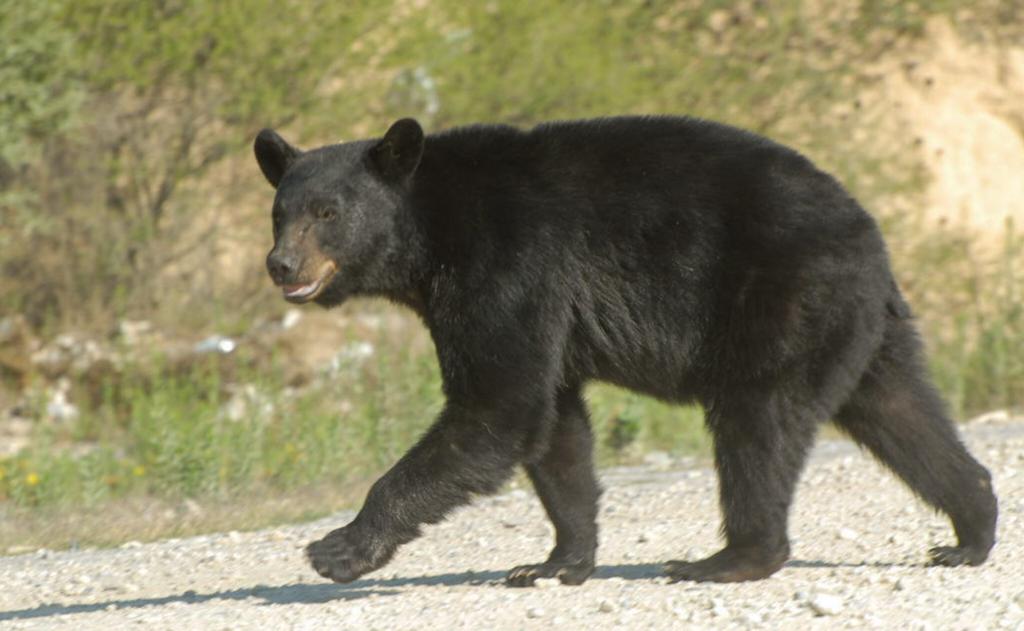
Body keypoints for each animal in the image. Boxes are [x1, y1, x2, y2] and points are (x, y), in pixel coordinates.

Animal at [254, 116, 997, 586]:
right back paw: (971, 531)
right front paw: (555, 562)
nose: (281, 264)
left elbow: (498, 405)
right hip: (858, 326)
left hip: (786, 296)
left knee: (757, 420)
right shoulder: (529, 303)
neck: (430, 231)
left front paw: (338, 549)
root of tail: (870, 234)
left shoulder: (508, 263)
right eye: (279, 212)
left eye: (327, 212)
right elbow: (553, 425)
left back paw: (726, 559)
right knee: (900, 410)